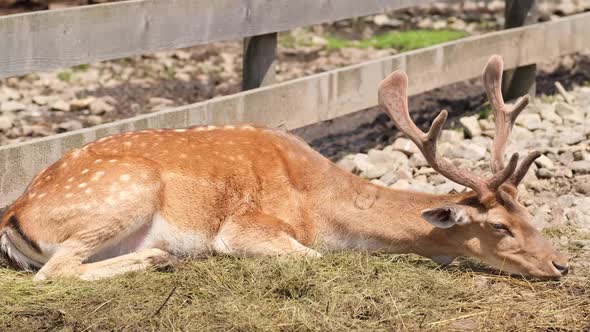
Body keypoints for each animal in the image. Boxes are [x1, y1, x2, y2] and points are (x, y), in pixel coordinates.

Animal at [0, 55, 572, 282]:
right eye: (498, 227)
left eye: (529, 214)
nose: (561, 263)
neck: (318, 204)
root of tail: (14, 213)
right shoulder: (243, 226)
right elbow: (310, 257)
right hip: (127, 189)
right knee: (53, 272)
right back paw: (158, 259)